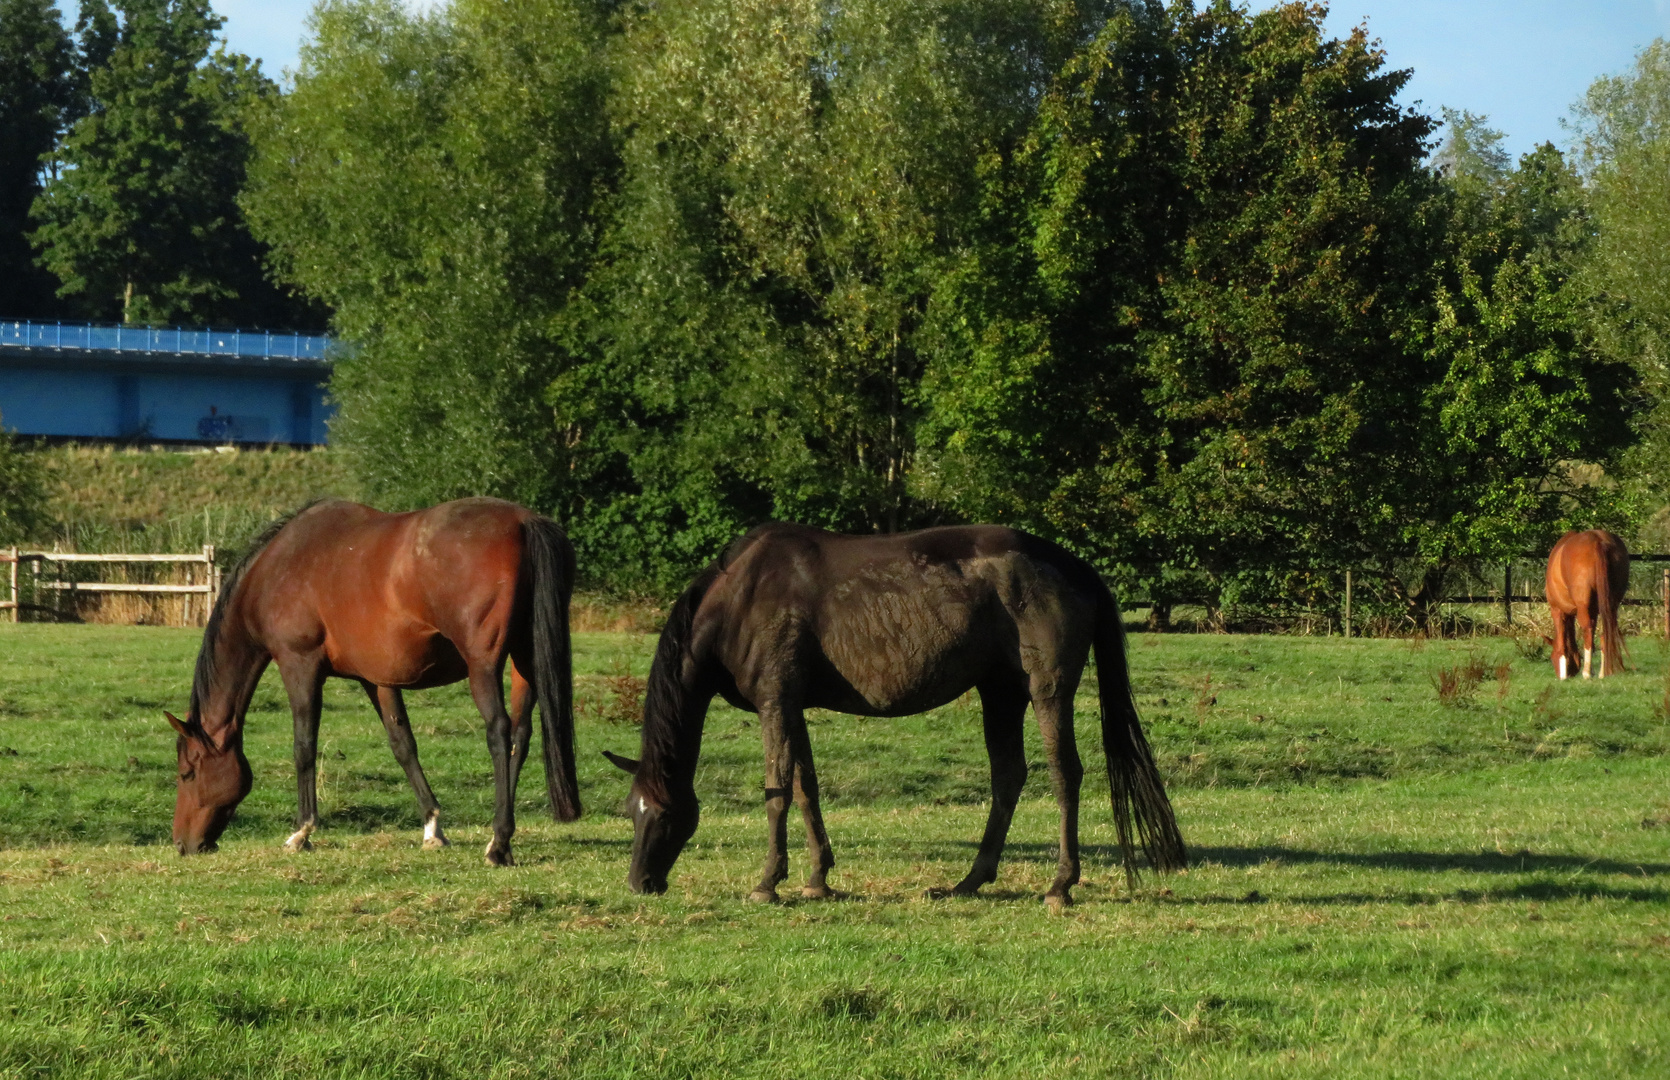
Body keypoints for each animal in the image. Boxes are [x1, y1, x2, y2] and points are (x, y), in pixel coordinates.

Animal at [167, 497, 577, 861]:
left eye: (187, 774)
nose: (182, 845)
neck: (276, 570)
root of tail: (524, 521)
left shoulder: (299, 665)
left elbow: (304, 746)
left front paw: (302, 831)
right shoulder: (377, 679)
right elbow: (403, 745)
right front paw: (432, 828)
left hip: (484, 666)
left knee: (499, 731)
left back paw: (498, 844)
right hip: (524, 661)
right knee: (520, 735)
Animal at [601, 524, 1189, 901]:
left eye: (664, 814)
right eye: (631, 812)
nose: (640, 884)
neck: (741, 598)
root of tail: (1077, 566)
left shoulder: (775, 702)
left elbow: (777, 790)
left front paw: (769, 882)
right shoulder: (794, 706)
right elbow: (806, 787)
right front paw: (818, 878)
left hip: (1047, 692)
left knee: (1065, 774)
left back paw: (1060, 885)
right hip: (999, 692)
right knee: (1008, 777)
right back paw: (969, 881)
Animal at [1543, 530, 1623, 681]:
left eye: (1551, 658)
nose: (1559, 674)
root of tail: (1597, 539)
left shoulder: (1557, 610)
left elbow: (1562, 644)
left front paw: (1564, 675)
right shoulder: (1594, 611)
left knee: (1588, 630)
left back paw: (1587, 673)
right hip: (1610, 606)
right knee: (1604, 634)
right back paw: (1603, 673)